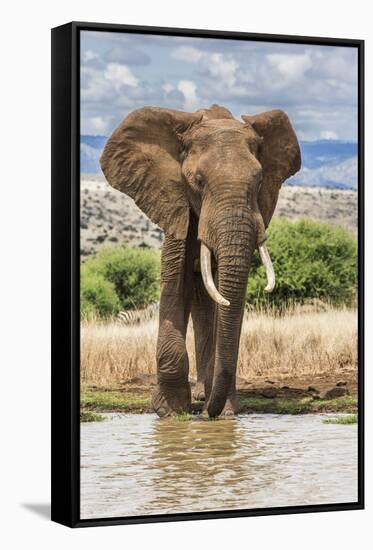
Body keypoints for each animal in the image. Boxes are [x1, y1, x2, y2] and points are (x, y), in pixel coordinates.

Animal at [100, 102, 300, 418]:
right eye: (197, 181)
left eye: (259, 181)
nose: (210, 415)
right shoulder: (175, 207)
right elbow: (175, 285)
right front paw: (170, 412)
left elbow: (225, 303)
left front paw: (225, 412)